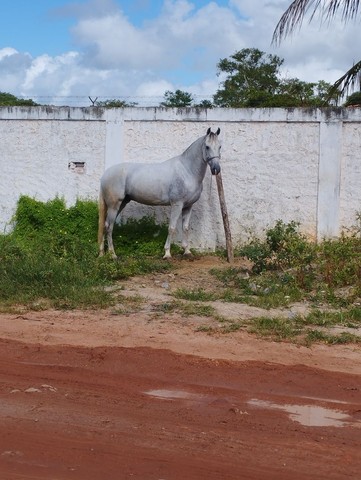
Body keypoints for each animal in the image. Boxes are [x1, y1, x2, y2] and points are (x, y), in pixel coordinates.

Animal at [100, 125, 221, 256]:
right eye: (207, 146)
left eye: (220, 146)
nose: (216, 169)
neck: (187, 171)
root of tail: (105, 174)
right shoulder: (177, 204)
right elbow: (172, 227)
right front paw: (167, 253)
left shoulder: (188, 206)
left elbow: (185, 227)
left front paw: (187, 251)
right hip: (114, 205)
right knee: (109, 226)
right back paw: (112, 254)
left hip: (121, 203)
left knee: (104, 225)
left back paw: (102, 253)